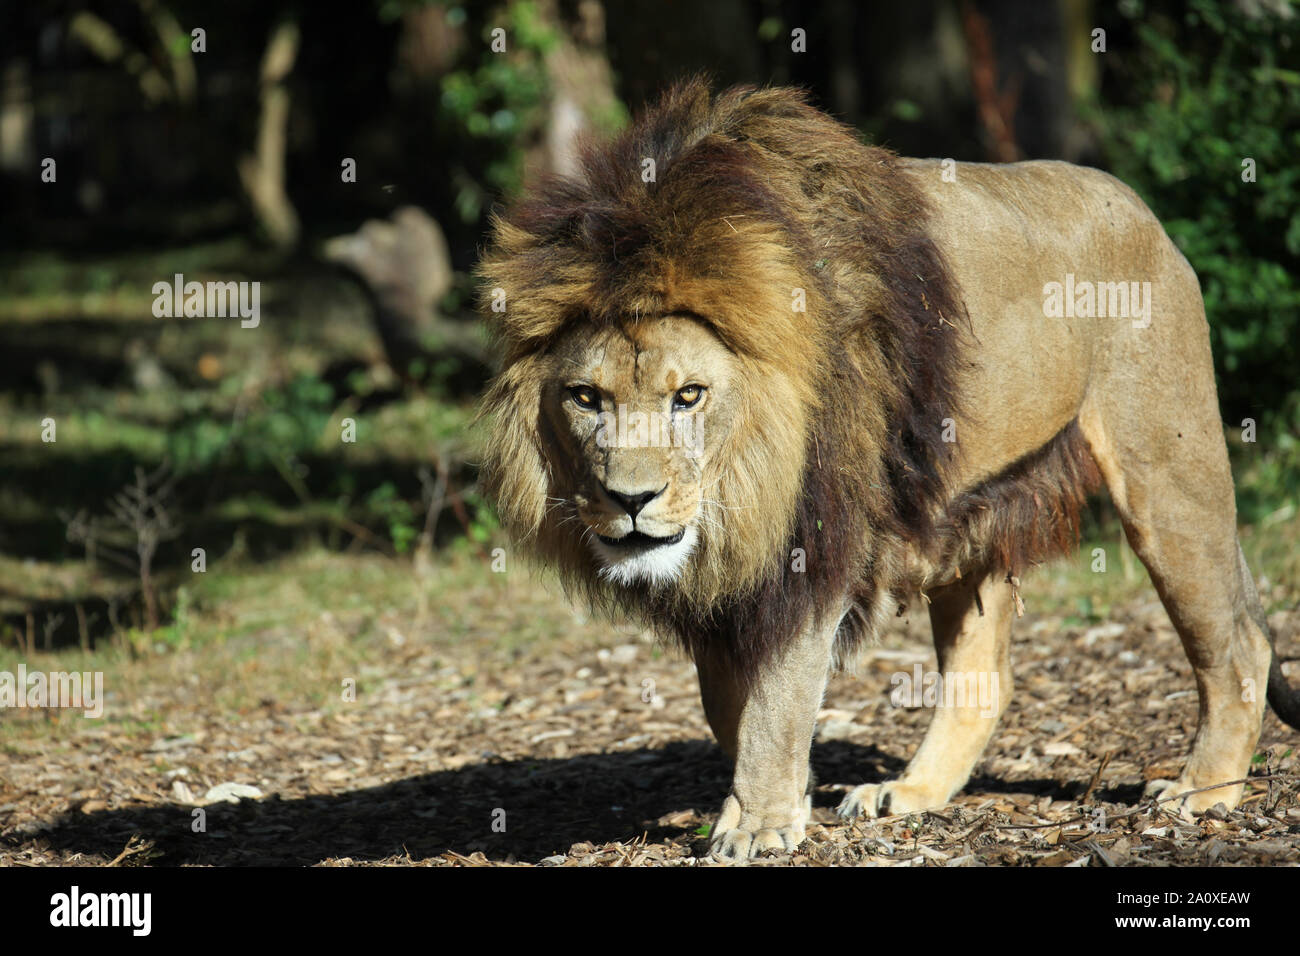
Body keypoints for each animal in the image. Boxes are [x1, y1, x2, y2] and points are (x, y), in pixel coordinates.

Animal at [475, 80, 1300, 858]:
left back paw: (1201, 792)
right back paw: (910, 792)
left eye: (689, 396)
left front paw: (759, 825)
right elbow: (731, 706)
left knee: (1238, 643)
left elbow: (774, 699)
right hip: (970, 508)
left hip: (1167, 472)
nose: (631, 499)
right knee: (984, 676)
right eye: (586, 397)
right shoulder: (734, 580)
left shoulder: (814, 541)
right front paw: (780, 796)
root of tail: (1143, 210)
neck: (746, 481)